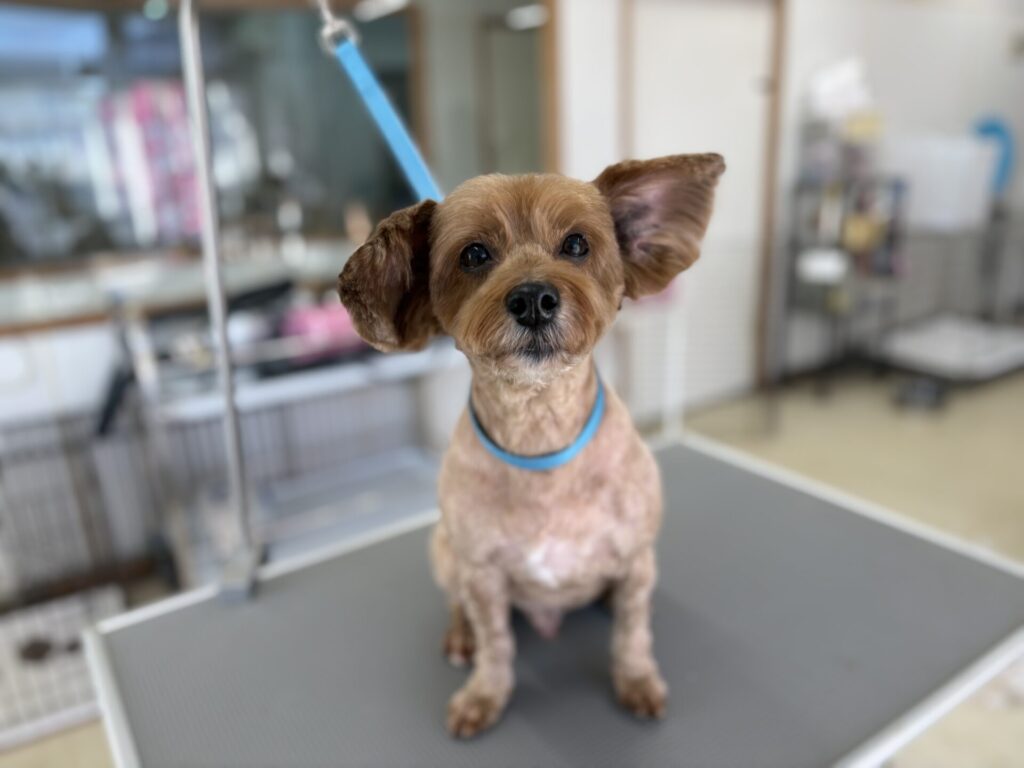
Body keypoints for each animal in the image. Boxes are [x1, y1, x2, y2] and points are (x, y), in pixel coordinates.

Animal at [338, 153, 725, 738]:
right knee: (458, 604)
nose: (533, 299)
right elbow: (495, 643)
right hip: (444, 549)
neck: (540, 433)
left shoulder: (637, 556)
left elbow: (632, 634)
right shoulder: (482, 573)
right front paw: (484, 695)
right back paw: (460, 636)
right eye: (474, 254)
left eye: (577, 244)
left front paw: (637, 680)